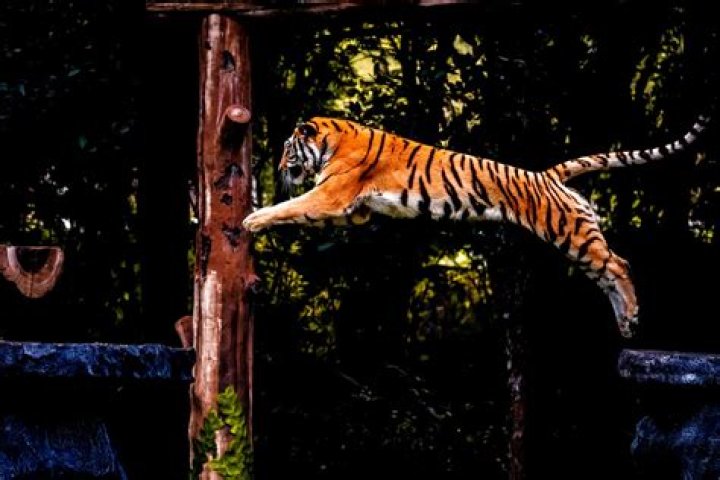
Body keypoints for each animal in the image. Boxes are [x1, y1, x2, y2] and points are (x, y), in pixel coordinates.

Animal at [242, 115, 709, 337]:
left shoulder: (331, 196)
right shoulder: (352, 209)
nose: (278, 166)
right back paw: (626, 323)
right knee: (607, 272)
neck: (332, 141)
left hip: (569, 233)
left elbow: (290, 206)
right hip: (578, 237)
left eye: (287, 149)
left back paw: (631, 316)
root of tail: (550, 175)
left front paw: (252, 219)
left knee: (619, 265)